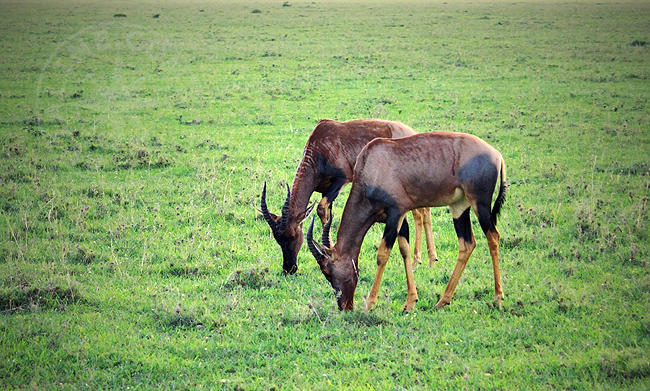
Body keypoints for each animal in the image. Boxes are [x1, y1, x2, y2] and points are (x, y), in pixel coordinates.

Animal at [260, 119, 438, 276]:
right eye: (277, 238)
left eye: (292, 235)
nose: (289, 268)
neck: (319, 145)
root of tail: (411, 132)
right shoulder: (325, 189)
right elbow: (327, 214)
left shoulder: (342, 179)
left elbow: (321, 209)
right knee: (423, 211)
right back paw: (428, 260)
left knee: (421, 212)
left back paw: (421, 260)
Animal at [306, 132, 506, 312]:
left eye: (328, 270)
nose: (345, 307)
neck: (373, 163)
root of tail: (497, 155)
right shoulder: (399, 218)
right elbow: (404, 250)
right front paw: (410, 303)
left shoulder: (395, 214)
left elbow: (383, 254)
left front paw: (370, 304)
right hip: (459, 207)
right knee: (467, 244)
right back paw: (442, 301)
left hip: (481, 204)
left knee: (493, 237)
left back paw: (498, 297)